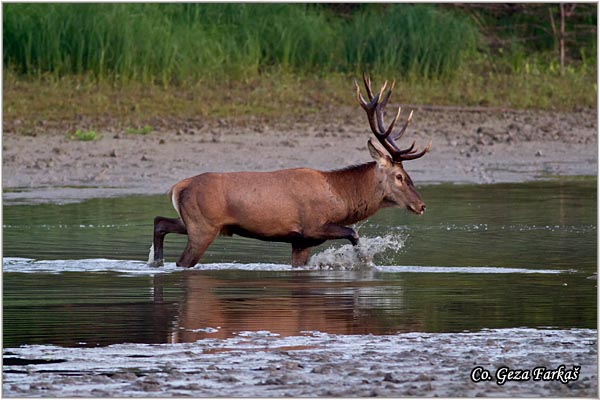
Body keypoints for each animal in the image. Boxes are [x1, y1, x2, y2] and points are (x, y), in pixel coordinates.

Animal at [150, 75, 432, 268]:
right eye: (400, 177)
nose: (421, 206)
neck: (340, 197)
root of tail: (178, 187)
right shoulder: (312, 226)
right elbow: (353, 233)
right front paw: (364, 262)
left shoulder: (300, 242)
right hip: (203, 227)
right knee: (182, 260)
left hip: (194, 221)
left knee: (160, 222)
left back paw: (155, 260)